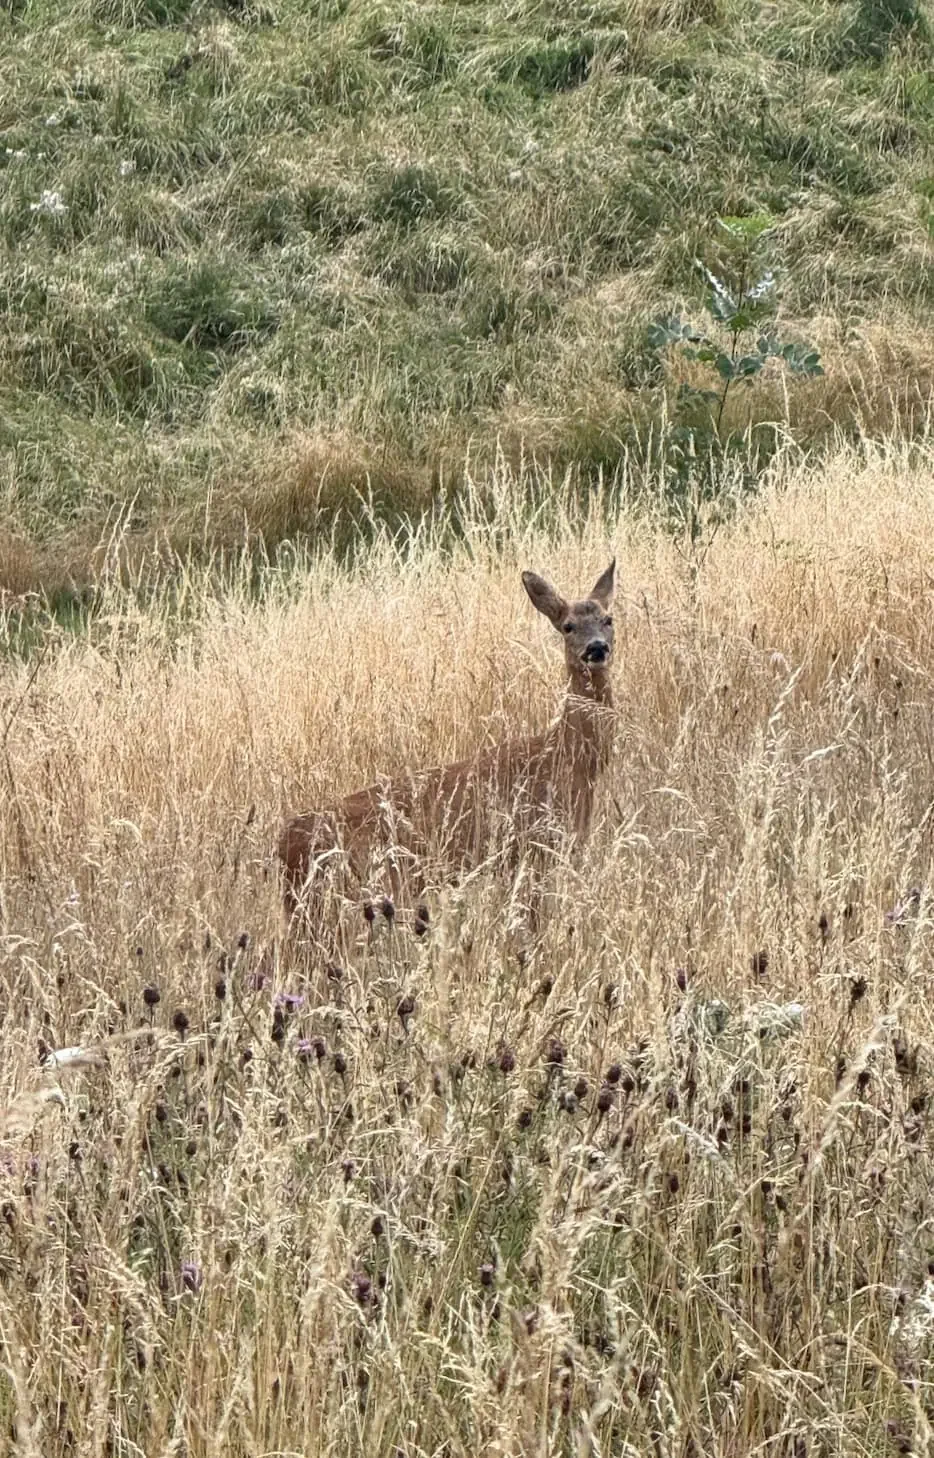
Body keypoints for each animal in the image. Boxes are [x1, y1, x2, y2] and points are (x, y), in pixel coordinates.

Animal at [277, 560, 617, 923]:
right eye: (568, 626)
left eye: (608, 619)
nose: (596, 648)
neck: (565, 755)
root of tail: (284, 844)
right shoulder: (531, 846)